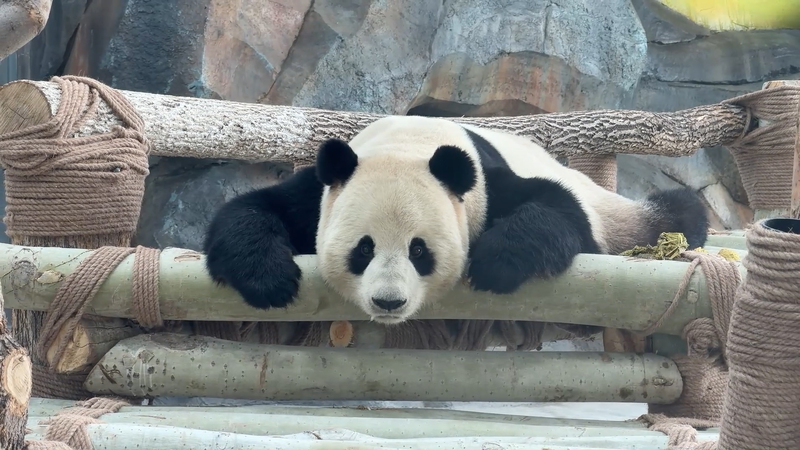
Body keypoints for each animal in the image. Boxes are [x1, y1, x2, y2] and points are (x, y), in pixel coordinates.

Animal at [203, 115, 708, 325]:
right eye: (363, 249)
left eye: (419, 250)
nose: (389, 302)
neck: (411, 143)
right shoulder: (322, 193)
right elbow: (251, 209)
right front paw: (268, 278)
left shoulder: (484, 185)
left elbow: (557, 213)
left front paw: (495, 263)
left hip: (612, 208)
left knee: (666, 212)